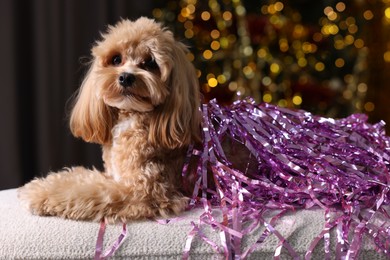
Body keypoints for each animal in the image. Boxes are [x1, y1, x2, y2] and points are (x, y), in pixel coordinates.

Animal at [17, 17, 201, 222]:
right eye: (116, 59)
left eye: (150, 63)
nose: (126, 77)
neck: (131, 117)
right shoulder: (112, 176)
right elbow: (78, 177)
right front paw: (41, 185)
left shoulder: (144, 190)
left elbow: (84, 191)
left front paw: (42, 196)